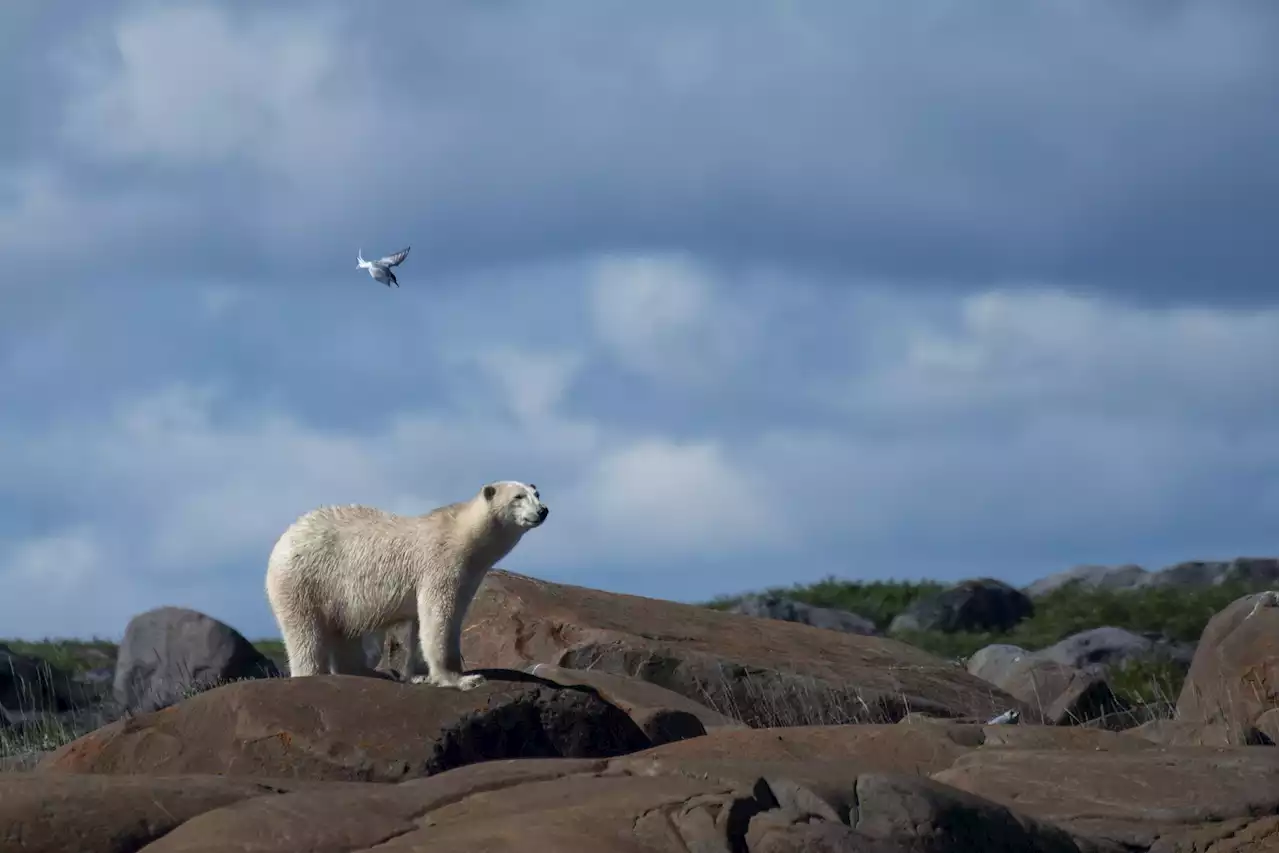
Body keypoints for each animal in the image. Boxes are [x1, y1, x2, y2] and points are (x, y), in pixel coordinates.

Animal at [264, 481, 550, 686]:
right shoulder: (440, 565)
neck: (463, 535)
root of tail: (282, 540)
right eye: (518, 497)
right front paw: (462, 679)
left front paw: (420, 675)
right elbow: (439, 618)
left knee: (345, 633)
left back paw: (368, 673)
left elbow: (423, 624)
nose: (543, 511)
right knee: (306, 635)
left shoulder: (466, 576)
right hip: (304, 581)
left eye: (536, 493)